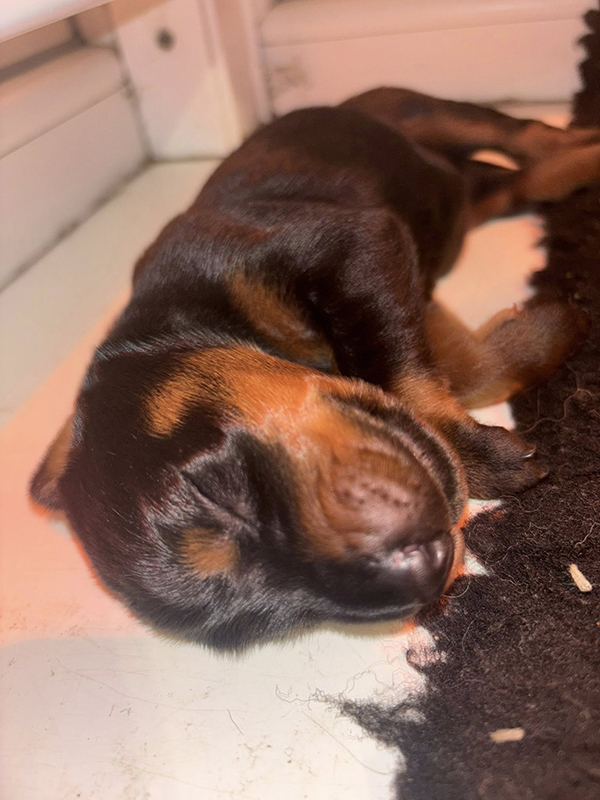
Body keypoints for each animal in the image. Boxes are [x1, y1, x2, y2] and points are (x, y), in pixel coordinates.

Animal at [30, 88, 596, 650]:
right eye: (271, 619)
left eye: (219, 496)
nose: (428, 574)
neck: (183, 313)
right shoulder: (409, 286)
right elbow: (461, 365)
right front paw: (546, 328)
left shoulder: (352, 245)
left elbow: (391, 366)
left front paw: (479, 452)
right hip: (467, 197)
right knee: (518, 179)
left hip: (418, 111)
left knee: (523, 133)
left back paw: (583, 145)